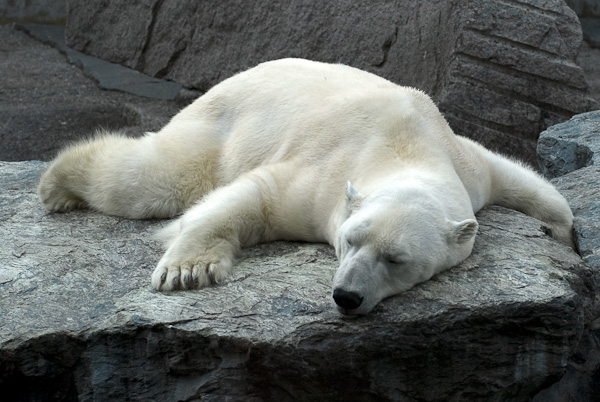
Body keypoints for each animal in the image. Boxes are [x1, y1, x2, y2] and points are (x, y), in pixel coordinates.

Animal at [36, 59, 572, 318]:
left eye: (396, 260)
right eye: (349, 240)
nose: (347, 296)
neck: (405, 146)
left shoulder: (465, 164)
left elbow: (519, 178)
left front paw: (567, 233)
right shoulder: (325, 177)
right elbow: (257, 195)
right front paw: (189, 270)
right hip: (220, 123)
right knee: (155, 179)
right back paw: (57, 182)